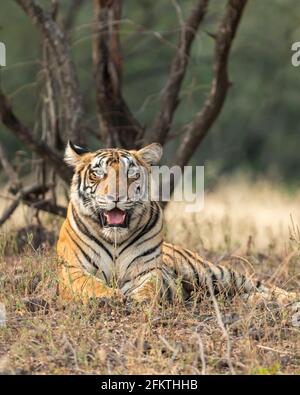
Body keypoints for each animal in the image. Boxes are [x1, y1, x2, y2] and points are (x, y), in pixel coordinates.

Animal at [56, 142, 298, 306]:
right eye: (98, 174)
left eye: (131, 175)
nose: (116, 196)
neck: (115, 237)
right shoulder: (72, 270)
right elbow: (89, 284)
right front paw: (109, 296)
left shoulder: (147, 270)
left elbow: (150, 287)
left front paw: (140, 299)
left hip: (213, 273)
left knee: (258, 284)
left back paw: (285, 299)